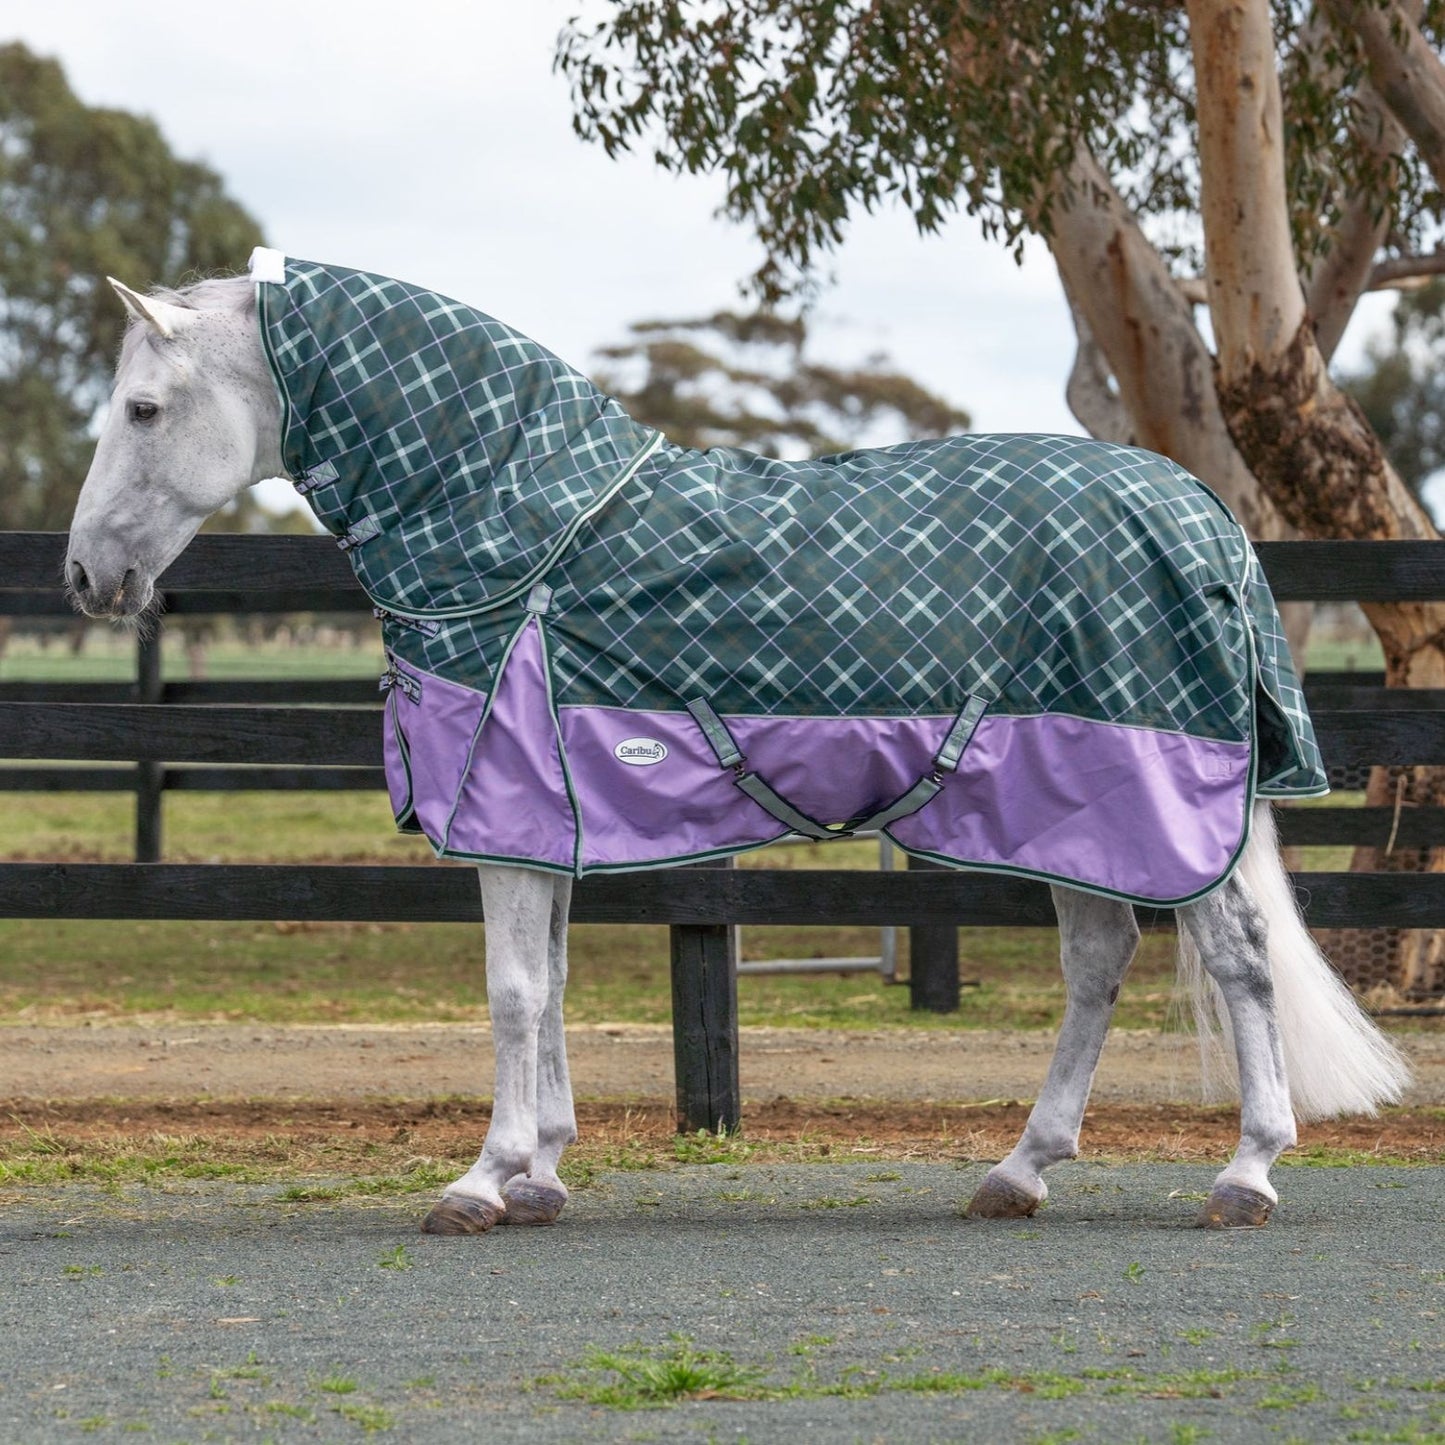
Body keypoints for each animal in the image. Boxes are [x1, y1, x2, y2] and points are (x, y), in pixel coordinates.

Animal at [64, 249, 1409, 1234]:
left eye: (143, 408)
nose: (84, 575)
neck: (523, 535)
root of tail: (1200, 515)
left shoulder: (505, 814)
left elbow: (510, 992)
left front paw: (479, 1180)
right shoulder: (545, 819)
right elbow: (552, 984)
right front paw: (541, 1173)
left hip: (1155, 802)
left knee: (1235, 957)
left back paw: (1243, 1173)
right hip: (1063, 807)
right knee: (1097, 959)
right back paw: (1017, 1168)